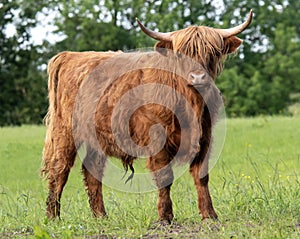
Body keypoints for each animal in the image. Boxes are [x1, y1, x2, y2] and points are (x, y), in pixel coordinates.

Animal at [41, 10, 253, 221]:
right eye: (180, 53)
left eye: (213, 52)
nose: (198, 77)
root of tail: (69, 56)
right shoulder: (157, 139)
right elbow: (165, 177)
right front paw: (165, 217)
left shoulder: (205, 136)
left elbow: (202, 176)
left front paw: (209, 214)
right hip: (64, 132)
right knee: (59, 170)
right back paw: (53, 218)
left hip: (97, 137)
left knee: (92, 170)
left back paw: (101, 216)